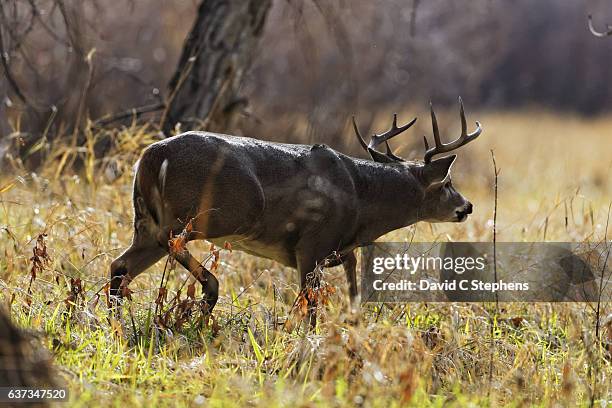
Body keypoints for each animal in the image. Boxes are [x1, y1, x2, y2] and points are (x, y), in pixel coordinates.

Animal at [110, 97, 482, 324]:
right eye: (447, 183)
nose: (467, 206)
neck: (361, 198)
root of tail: (152, 156)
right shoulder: (312, 244)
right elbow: (310, 306)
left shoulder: (340, 251)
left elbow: (352, 296)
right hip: (210, 214)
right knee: (169, 241)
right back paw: (209, 291)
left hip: (144, 222)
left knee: (120, 265)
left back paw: (115, 320)